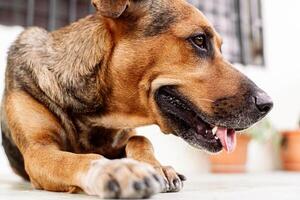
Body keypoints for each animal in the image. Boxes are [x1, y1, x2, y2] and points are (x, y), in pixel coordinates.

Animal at [0, 0, 274, 198]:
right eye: (198, 40)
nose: (267, 104)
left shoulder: (125, 134)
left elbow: (140, 139)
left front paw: (157, 166)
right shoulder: (39, 151)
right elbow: (75, 159)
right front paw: (114, 170)